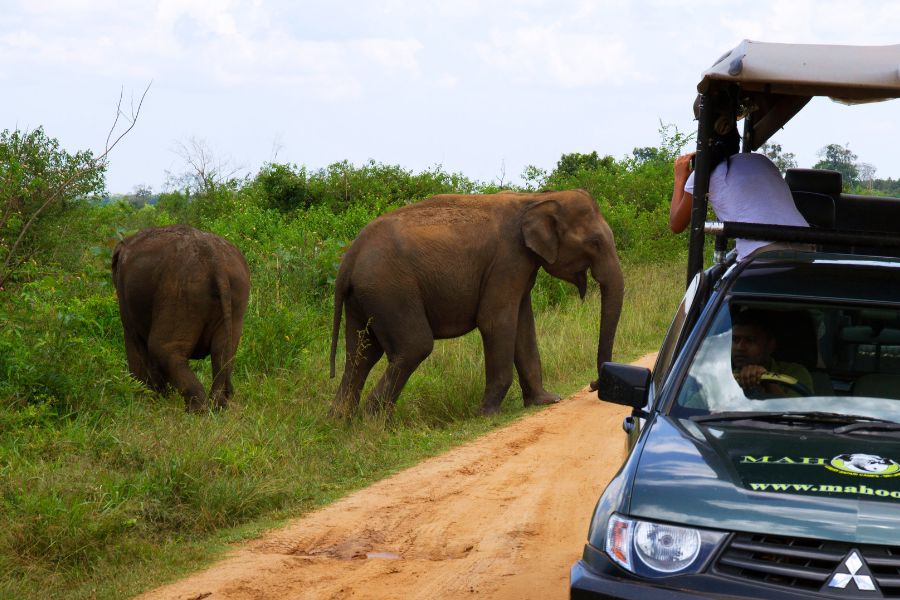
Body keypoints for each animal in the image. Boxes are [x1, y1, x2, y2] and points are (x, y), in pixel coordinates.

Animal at [114, 225, 253, 412]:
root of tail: (214, 260)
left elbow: (135, 341)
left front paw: (146, 399)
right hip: (235, 292)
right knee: (224, 349)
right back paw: (218, 406)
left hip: (180, 292)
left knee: (162, 348)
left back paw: (197, 411)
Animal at [330, 190, 624, 414]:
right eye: (595, 242)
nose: (593, 384)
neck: (536, 198)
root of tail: (349, 258)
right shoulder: (508, 259)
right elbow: (495, 321)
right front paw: (487, 413)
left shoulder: (521, 264)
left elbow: (523, 325)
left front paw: (546, 400)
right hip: (391, 290)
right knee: (413, 347)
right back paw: (373, 422)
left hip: (365, 297)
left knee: (361, 355)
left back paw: (342, 422)